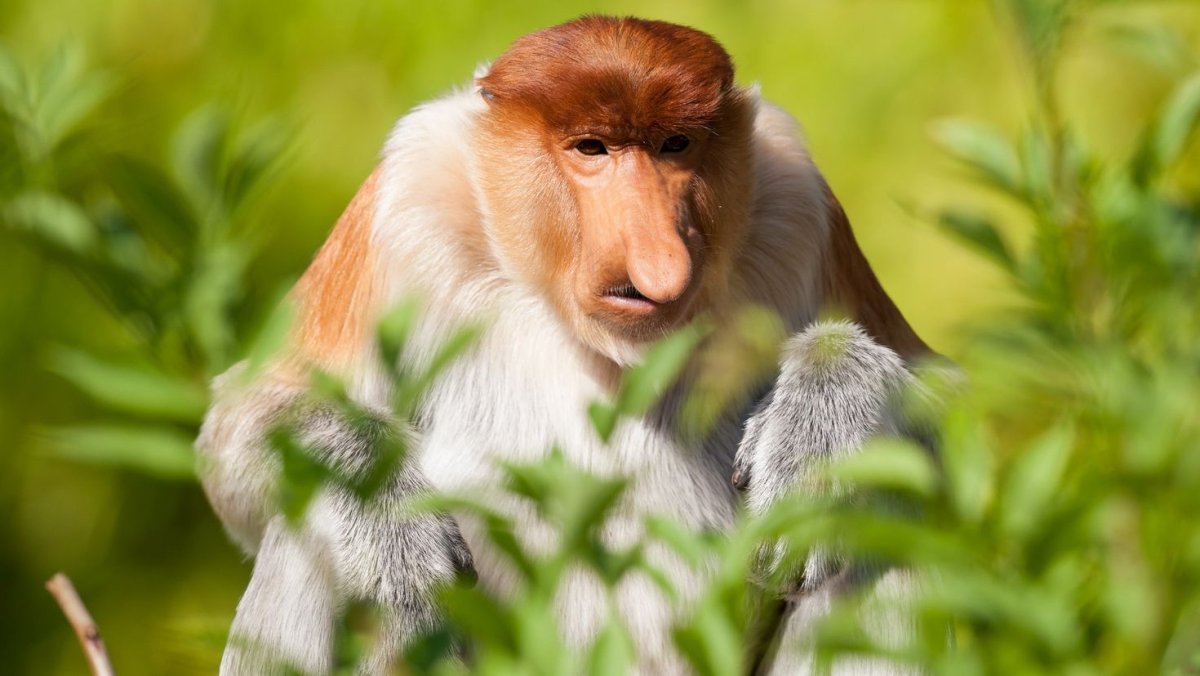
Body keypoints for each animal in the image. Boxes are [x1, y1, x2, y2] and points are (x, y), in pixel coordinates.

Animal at [196, 15, 931, 675]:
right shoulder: (401, 203)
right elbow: (240, 432)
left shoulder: (799, 205)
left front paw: (817, 435)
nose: (659, 263)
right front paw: (392, 532)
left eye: (676, 144)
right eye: (591, 147)